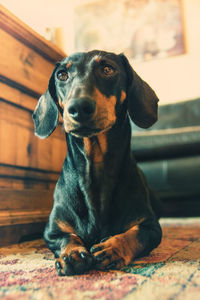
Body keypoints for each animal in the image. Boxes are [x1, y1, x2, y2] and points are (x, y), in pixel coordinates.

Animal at [32, 49, 162, 276]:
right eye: (62, 75)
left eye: (108, 69)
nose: (78, 107)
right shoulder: (51, 231)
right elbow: (66, 237)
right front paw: (72, 254)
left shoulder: (152, 227)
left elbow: (137, 234)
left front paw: (113, 247)